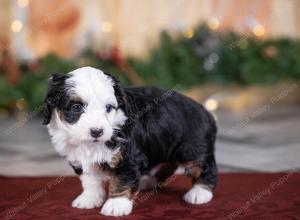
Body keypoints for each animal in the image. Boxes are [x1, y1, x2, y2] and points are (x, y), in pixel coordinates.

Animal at [43, 66, 217, 217]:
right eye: (77, 107)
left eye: (108, 108)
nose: (97, 132)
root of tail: (207, 112)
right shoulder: (79, 158)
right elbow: (90, 179)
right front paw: (89, 198)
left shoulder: (127, 157)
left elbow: (122, 180)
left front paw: (116, 204)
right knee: (168, 165)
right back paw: (148, 181)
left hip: (192, 149)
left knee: (205, 168)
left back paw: (200, 192)